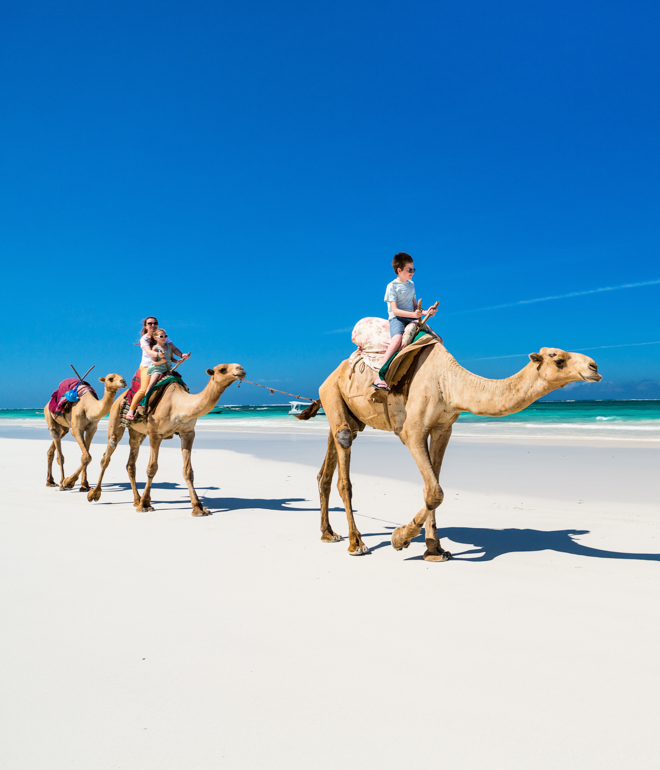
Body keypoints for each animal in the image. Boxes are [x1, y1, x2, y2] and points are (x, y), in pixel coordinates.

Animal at [87, 364, 245, 516]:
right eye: (222, 369)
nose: (241, 369)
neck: (177, 404)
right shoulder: (155, 434)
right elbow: (152, 468)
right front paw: (145, 505)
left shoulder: (188, 433)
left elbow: (188, 471)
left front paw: (199, 508)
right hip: (115, 420)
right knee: (107, 454)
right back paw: (94, 494)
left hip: (137, 433)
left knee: (131, 461)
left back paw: (136, 500)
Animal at [310, 342, 602, 561]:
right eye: (558, 359)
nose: (594, 367)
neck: (449, 383)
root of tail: (328, 377)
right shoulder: (412, 431)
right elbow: (435, 491)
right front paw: (399, 539)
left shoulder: (443, 428)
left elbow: (433, 488)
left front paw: (434, 550)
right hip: (332, 393)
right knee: (344, 465)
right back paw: (356, 543)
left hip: (344, 411)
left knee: (329, 463)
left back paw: (328, 534)